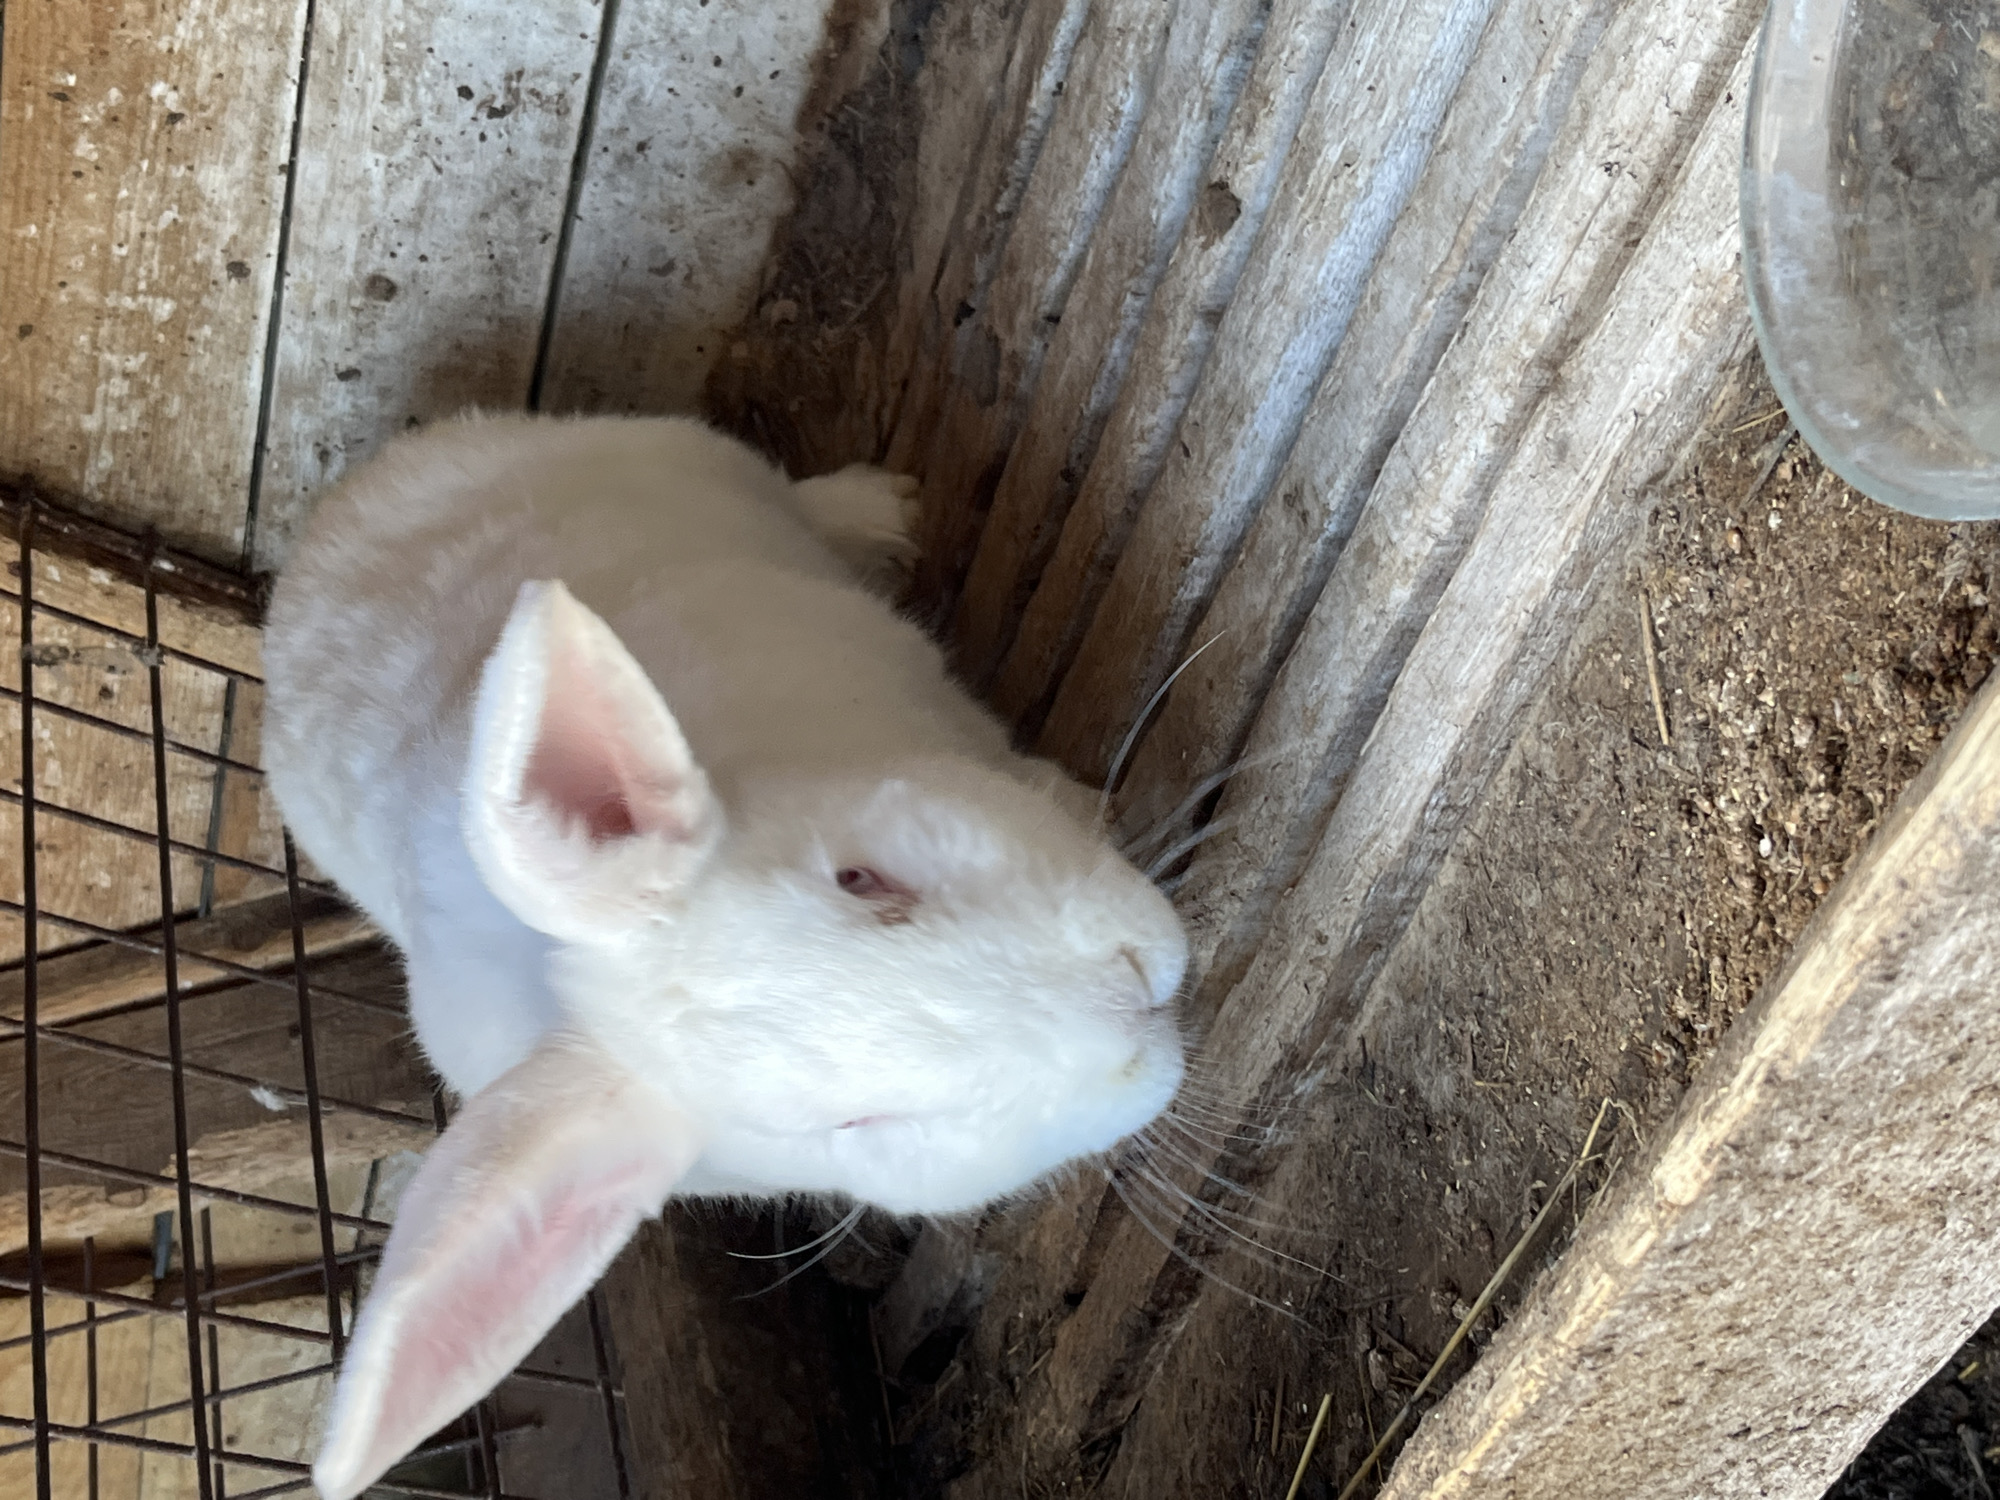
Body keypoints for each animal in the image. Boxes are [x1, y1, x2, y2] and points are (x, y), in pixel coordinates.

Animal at [258, 412, 1189, 1500]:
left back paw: (887, 509)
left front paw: (1087, 800)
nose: (1132, 1006)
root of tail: (323, 528)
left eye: (861, 878)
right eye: (850, 1123)